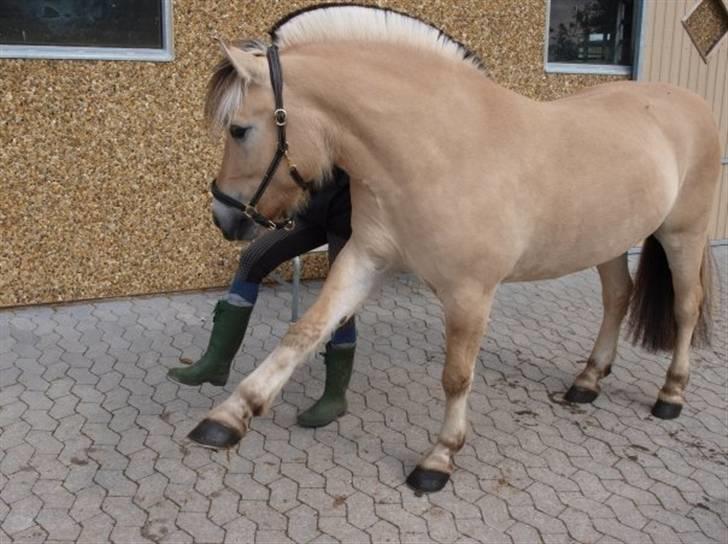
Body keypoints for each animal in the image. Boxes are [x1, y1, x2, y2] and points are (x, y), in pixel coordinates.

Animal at [186, 4, 716, 492]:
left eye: (238, 129)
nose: (223, 217)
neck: (440, 147)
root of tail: (692, 102)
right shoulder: (366, 258)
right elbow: (305, 331)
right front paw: (229, 415)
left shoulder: (469, 293)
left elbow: (456, 376)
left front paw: (439, 458)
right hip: (608, 242)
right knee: (617, 299)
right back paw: (587, 381)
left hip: (683, 235)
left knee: (686, 307)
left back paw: (670, 395)